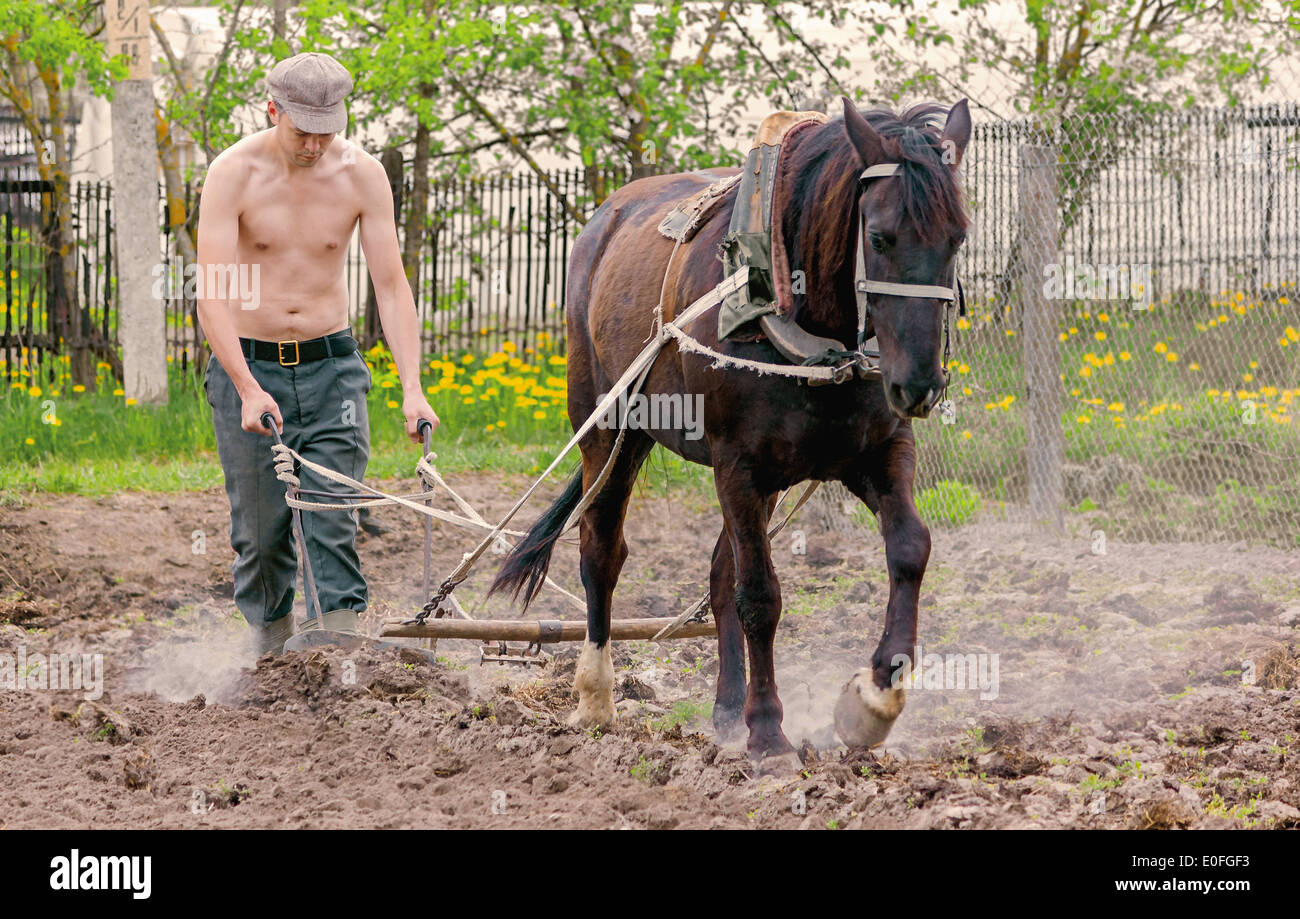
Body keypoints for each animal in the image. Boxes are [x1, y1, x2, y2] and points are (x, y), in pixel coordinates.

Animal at [491, 98, 972, 764]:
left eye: (957, 237)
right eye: (879, 237)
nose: (920, 384)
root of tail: (606, 220)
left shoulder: (876, 451)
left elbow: (908, 549)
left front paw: (873, 702)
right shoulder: (737, 463)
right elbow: (760, 596)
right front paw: (768, 735)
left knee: (719, 575)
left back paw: (725, 711)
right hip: (611, 431)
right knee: (601, 552)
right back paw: (596, 698)